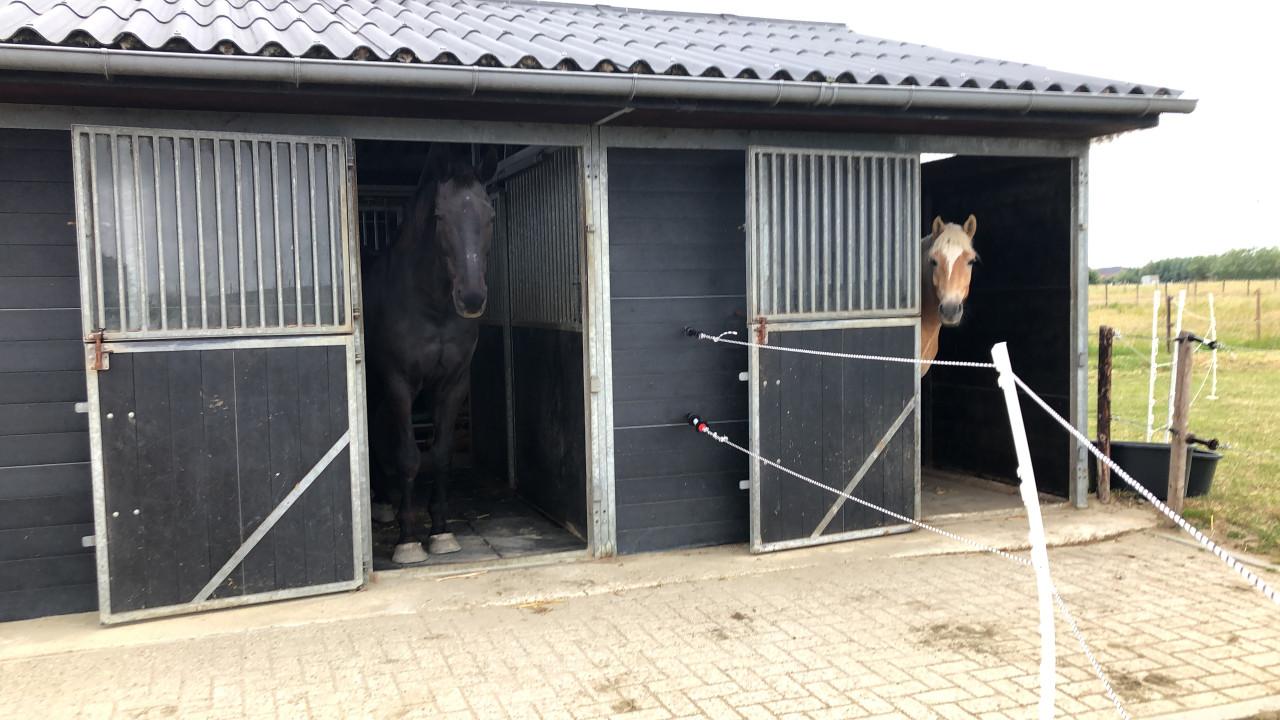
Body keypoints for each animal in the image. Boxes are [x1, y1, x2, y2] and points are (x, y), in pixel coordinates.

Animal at [363, 144, 498, 564]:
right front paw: (407, 541)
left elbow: (440, 455)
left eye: (489, 215)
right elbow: (409, 455)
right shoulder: (399, 382)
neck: (433, 307)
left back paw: (384, 500)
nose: (471, 298)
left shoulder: (453, 383)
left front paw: (440, 532)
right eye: (440, 217)